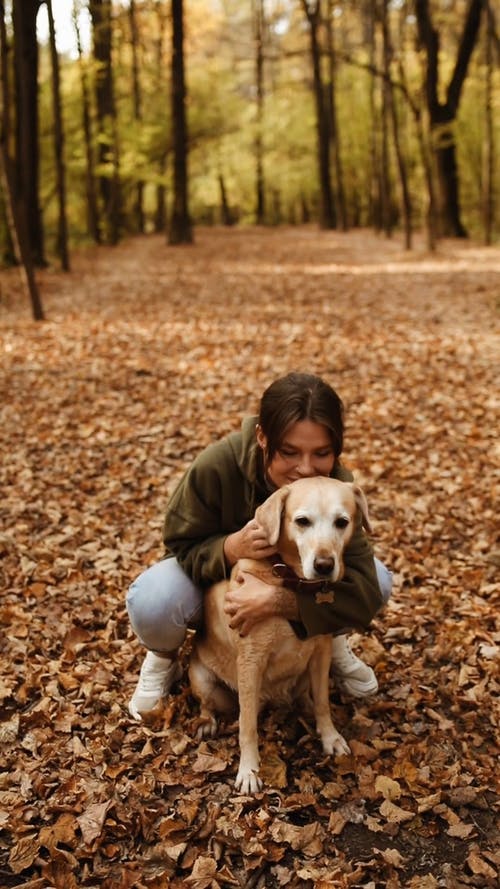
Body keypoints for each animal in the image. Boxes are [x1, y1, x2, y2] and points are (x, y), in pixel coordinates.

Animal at [189, 478, 370, 792]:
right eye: (302, 521)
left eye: (342, 522)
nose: (324, 565)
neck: (291, 580)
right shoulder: (251, 661)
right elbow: (247, 725)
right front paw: (249, 770)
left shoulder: (321, 652)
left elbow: (323, 702)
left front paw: (330, 737)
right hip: (202, 679)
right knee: (209, 706)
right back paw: (207, 722)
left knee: (307, 696)